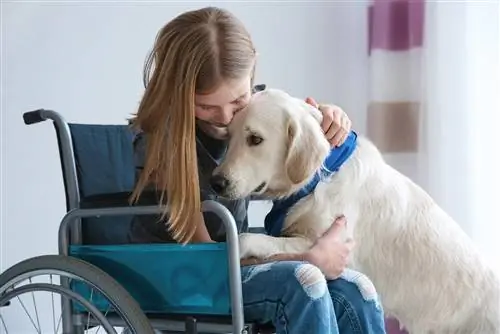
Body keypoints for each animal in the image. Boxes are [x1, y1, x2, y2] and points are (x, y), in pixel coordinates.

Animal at [211, 88, 500, 334]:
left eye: (255, 139)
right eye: (229, 137)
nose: (216, 182)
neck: (316, 180)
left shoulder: (333, 246)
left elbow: (250, 238)